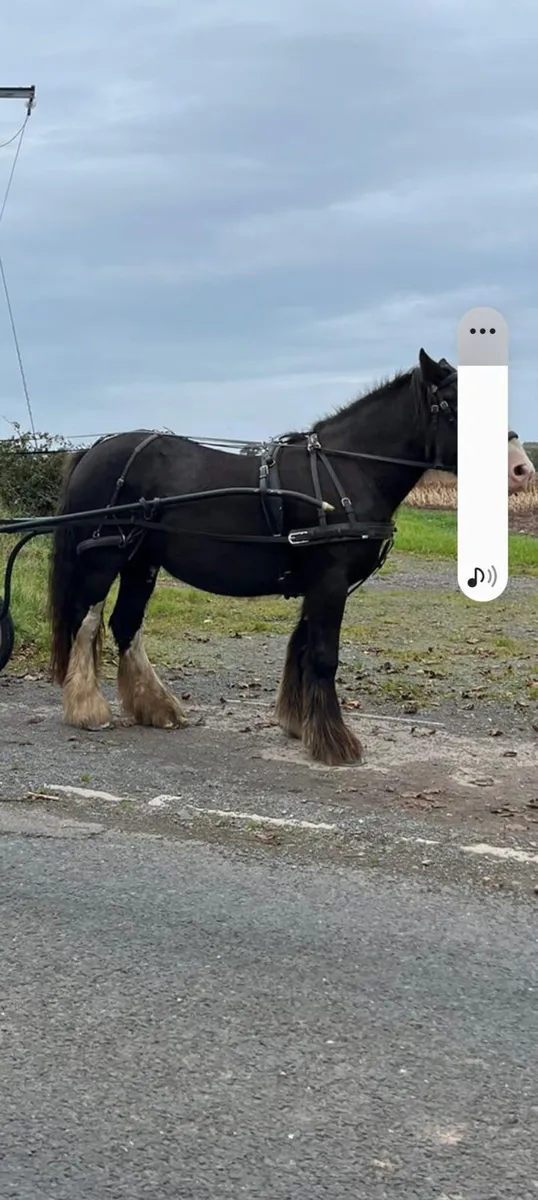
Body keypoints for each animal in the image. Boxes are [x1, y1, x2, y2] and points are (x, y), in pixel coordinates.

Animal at [45, 348, 507, 766]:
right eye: (457, 404)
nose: (515, 466)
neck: (346, 471)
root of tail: (94, 451)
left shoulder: (322, 585)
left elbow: (301, 647)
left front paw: (301, 724)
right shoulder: (329, 580)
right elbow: (323, 656)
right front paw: (335, 743)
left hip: (142, 563)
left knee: (125, 625)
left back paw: (156, 707)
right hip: (104, 559)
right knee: (86, 623)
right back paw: (87, 708)